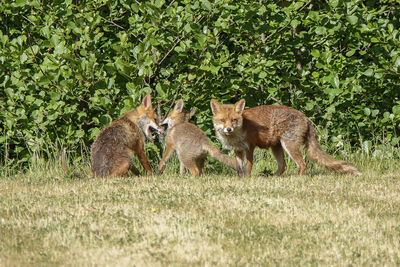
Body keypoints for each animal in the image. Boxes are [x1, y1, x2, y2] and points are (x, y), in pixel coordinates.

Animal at [211, 99, 360, 177]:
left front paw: (247, 179)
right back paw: (274, 178)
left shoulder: (250, 147)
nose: (228, 129)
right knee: (283, 166)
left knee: (302, 164)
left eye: (234, 120)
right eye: (223, 120)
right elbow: (239, 168)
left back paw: (299, 179)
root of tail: (305, 117)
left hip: (289, 145)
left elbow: (248, 167)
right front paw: (241, 179)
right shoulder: (238, 150)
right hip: (277, 147)